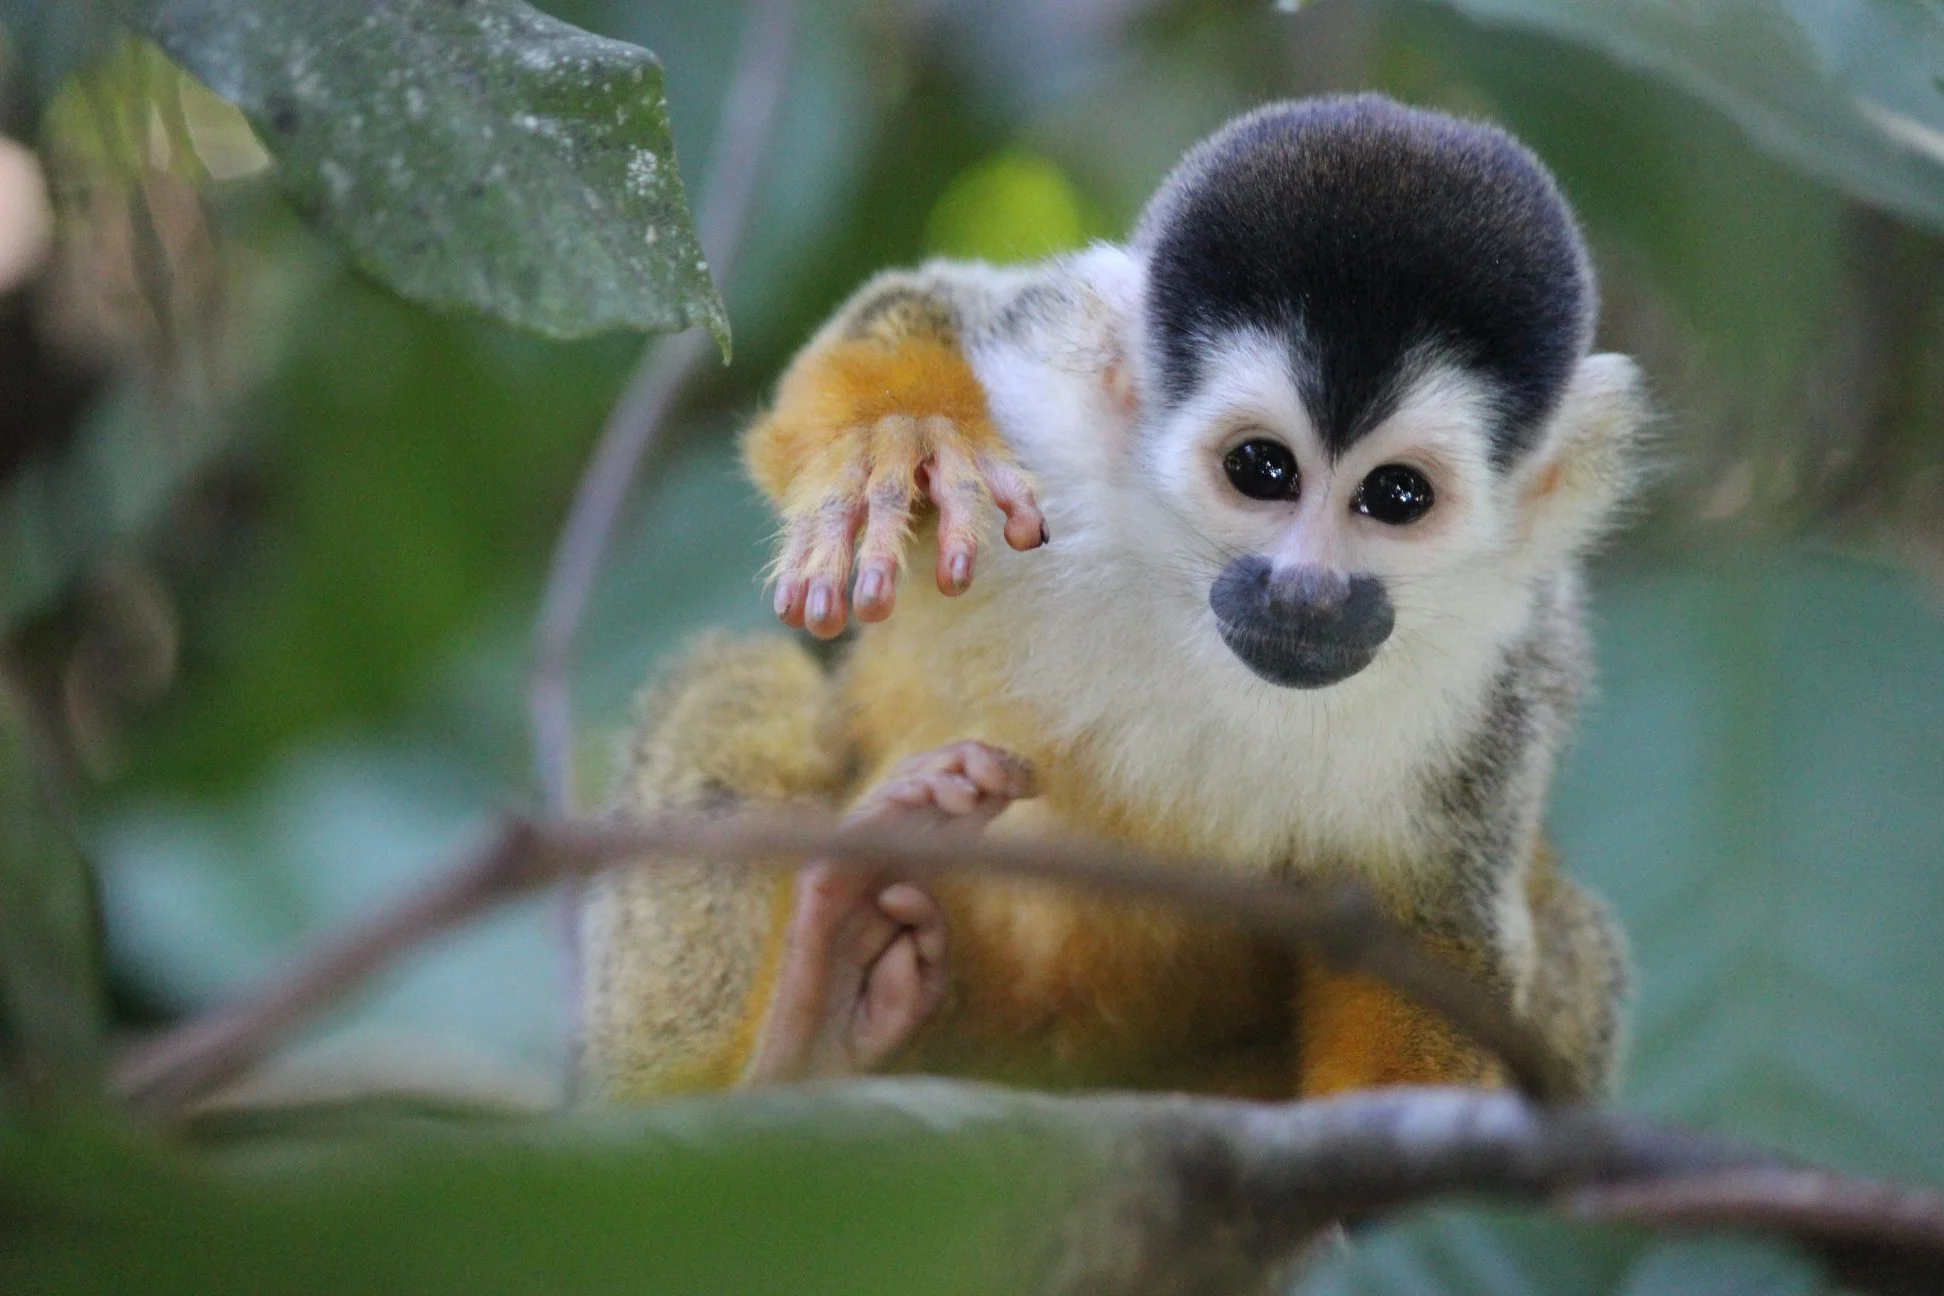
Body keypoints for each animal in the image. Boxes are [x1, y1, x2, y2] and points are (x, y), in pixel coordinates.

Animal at [579, 95, 1644, 1106]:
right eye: (1261, 468)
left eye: (1397, 496)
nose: (1304, 594)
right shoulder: (1047, 431)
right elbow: (913, 307)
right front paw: (892, 431)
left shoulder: (1504, 674)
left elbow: (1437, 942)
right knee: (743, 677)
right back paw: (797, 1029)